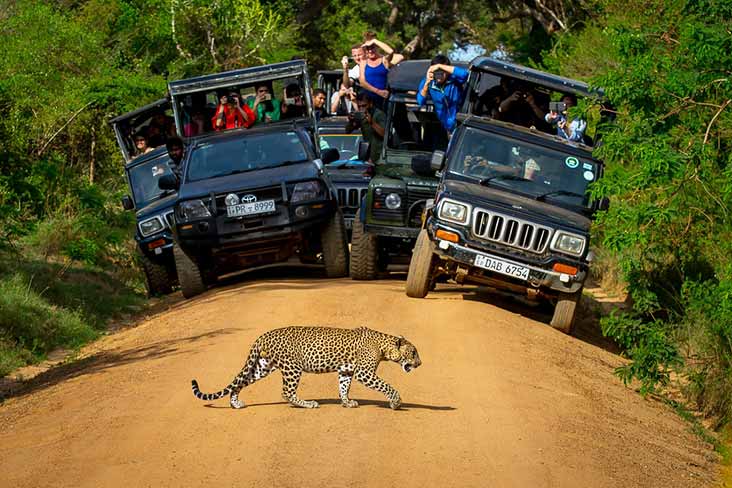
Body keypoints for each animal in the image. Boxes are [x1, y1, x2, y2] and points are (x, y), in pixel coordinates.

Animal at [192, 326, 420, 410]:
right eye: (413, 353)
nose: (420, 363)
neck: (384, 346)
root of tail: (263, 335)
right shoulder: (364, 373)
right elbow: (386, 386)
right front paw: (396, 402)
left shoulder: (346, 370)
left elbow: (343, 387)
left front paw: (346, 402)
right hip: (292, 368)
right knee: (286, 392)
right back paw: (308, 404)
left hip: (263, 366)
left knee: (240, 382)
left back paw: (236, 403)